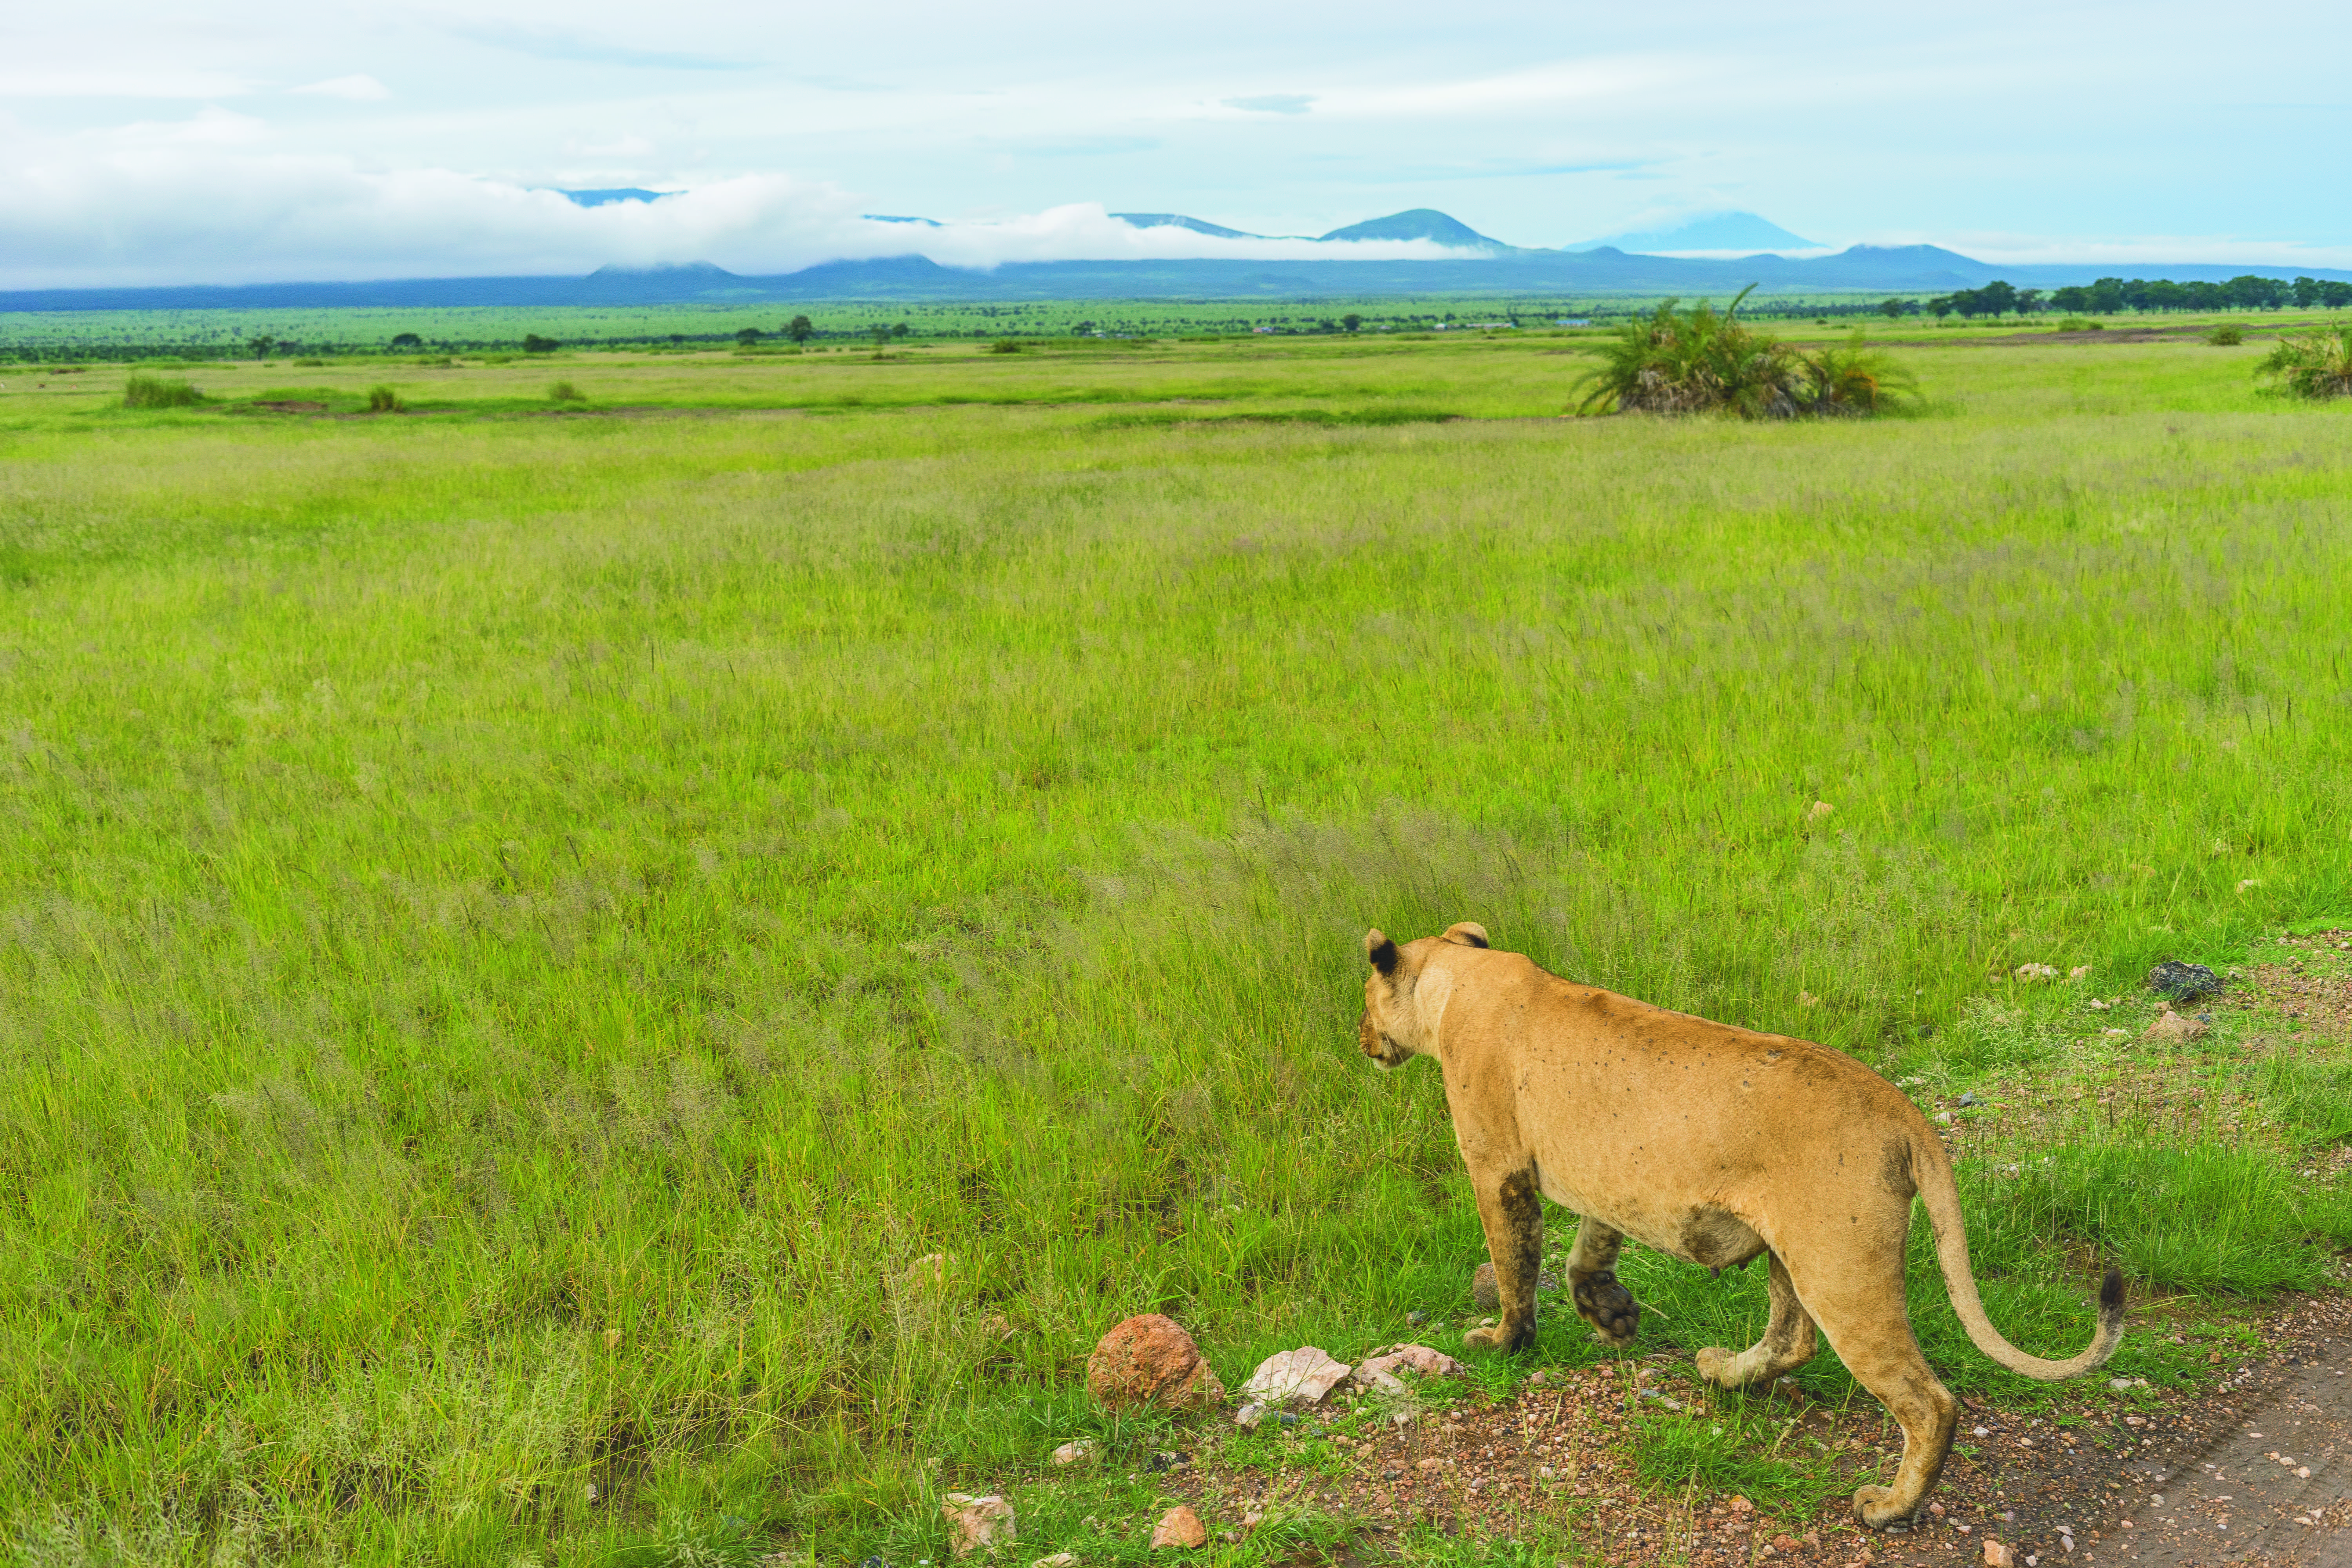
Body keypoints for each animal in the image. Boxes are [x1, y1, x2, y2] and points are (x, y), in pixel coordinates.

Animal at [1359, 922, 2123, 1530]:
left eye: (1365, 1000)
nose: (1363, 1038)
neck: (1454, 980)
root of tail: (1903, 1112)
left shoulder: (1499, 1168)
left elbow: (1516, 1267)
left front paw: (1501, 1342)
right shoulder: (1606, 1180)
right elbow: (1587, 1254)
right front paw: (1615, 1317)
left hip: (1840, 1269)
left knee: (1929, 1402)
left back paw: (1888, 1507)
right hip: (1793, 1253)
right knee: (1791, 1339)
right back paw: (1723, 1373)